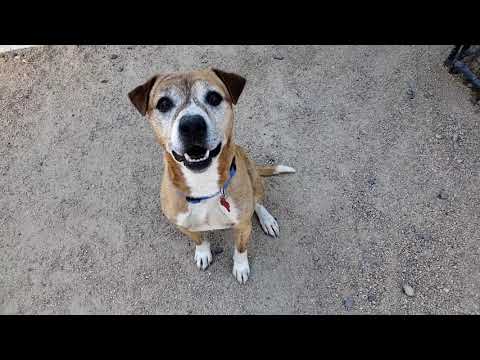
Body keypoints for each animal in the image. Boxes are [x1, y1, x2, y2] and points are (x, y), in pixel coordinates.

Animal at [127, 68, 294, 284]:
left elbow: (241, 249)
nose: (191, 125)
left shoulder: (243, 226)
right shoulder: (183, 225)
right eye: (163, 103)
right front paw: (203, 253)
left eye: (214, 97)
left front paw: (241, 267)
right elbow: (199, 239)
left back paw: (267, 220)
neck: (203, 185)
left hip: (254, 177)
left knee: (257, 202)